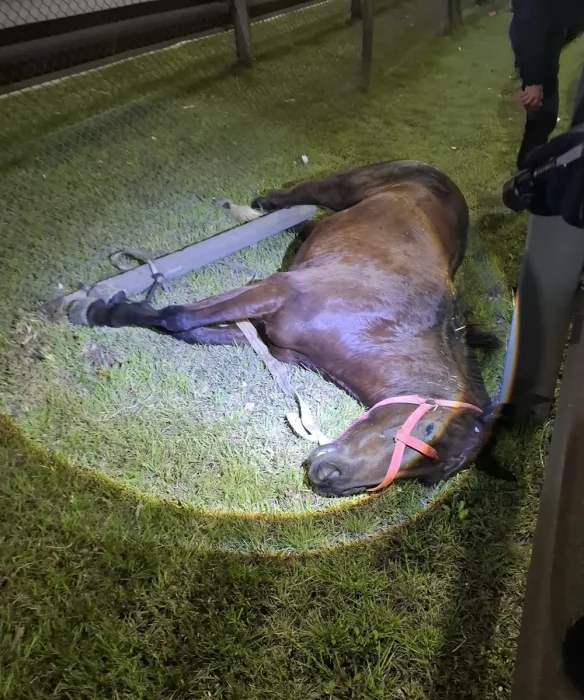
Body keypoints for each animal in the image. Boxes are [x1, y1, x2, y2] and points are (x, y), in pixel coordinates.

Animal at [68, 160, 498, 497]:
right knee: (300, 195)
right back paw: (261, 205)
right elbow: (178, 317)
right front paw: (100, 310)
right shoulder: (275, 289)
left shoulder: (275, 343)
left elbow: (191, 331)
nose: (328, 477)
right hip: (341, 187)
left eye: (424, 478)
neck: (378, 323)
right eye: (428, 428)